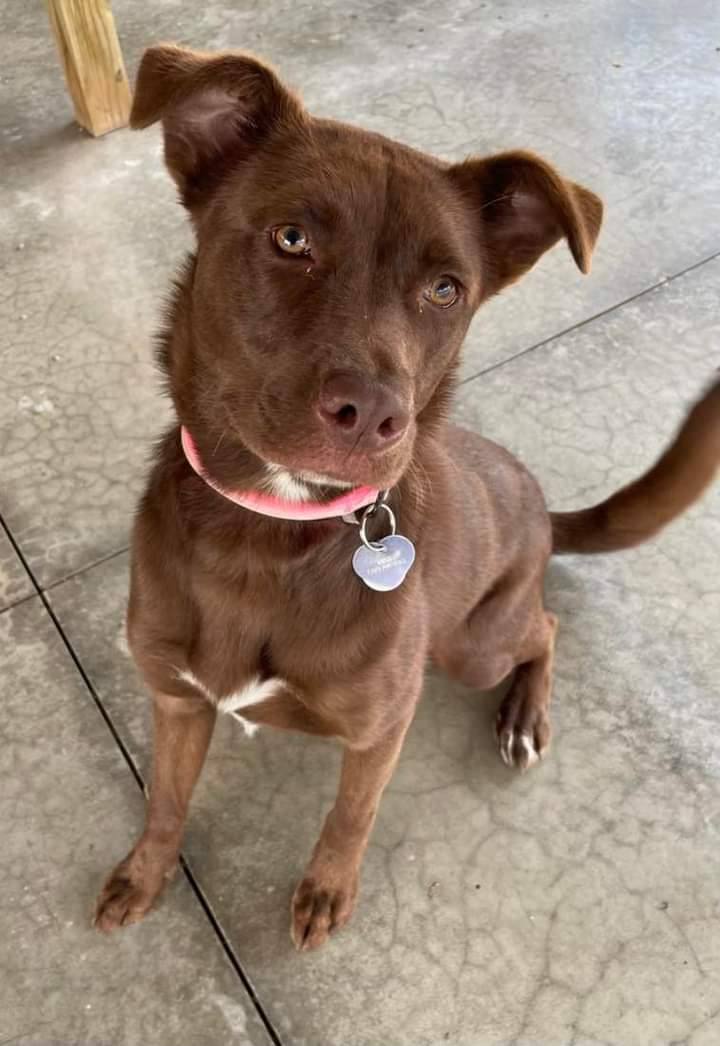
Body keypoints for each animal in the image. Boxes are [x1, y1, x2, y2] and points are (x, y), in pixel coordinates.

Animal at [92, 47, 715, 949]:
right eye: (292, 238)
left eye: (446, 289)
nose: (375, 415)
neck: (270, 534)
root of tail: (540, 506)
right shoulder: (176, 701)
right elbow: (166, 801)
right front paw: (144, 875)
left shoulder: (381, 727)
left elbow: (351, 816)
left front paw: (326, 890)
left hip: (472, 645)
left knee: (545, 629)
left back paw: (523, 715)